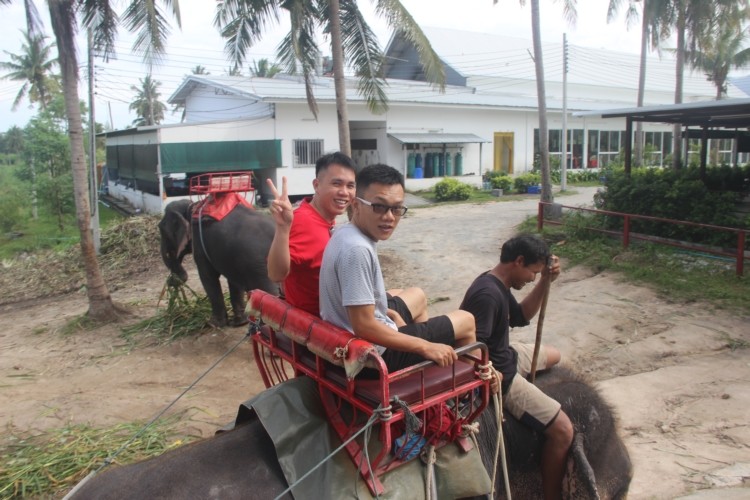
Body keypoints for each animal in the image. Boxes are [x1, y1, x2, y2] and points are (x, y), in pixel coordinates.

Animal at [159, 199, 280, 328]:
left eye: (162, 231)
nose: (170, 281)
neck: (191, 207)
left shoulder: (199, 245)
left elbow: (208, 277)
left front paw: (213, 324)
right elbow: (233, 281)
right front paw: (240, 322)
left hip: (262, 269)